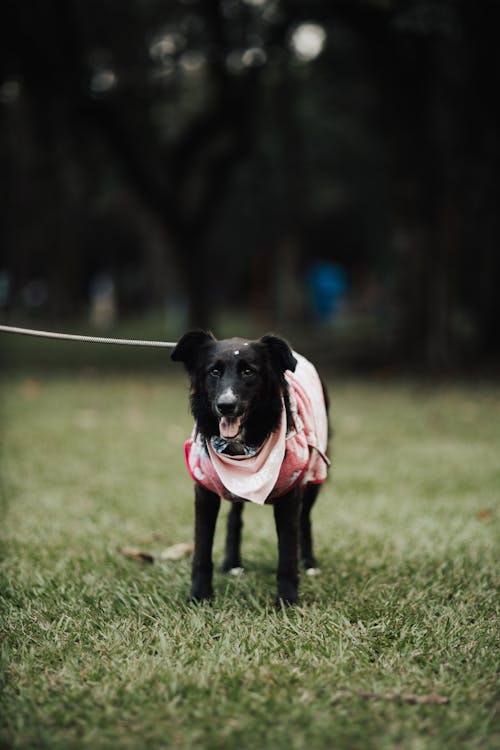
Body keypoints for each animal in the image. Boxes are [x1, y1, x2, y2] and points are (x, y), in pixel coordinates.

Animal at [170, 332, 330, 608]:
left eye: (249, 371)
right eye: (214, 371)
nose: (226, 405)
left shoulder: (290, 494)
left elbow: (287, 554)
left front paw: (287, 601)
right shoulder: (205, 491)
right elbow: (201, 551)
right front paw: (199, 596)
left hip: (315, 473)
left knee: (305, 519)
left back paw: (309, 563)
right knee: (235, 517)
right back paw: (232, 563)